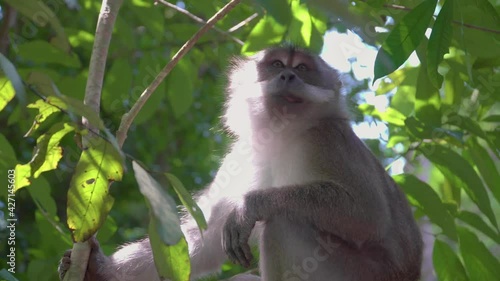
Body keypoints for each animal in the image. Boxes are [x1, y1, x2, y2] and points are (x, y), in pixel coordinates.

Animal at [60, 44, 424, 278]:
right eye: (276, 65)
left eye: (302, 69)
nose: (288, 76)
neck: (281, 136)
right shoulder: (243, 154)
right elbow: (204, 239)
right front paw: (99, 268)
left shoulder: (327, 139)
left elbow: (367, 215)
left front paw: (250, 206)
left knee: (283, 222)